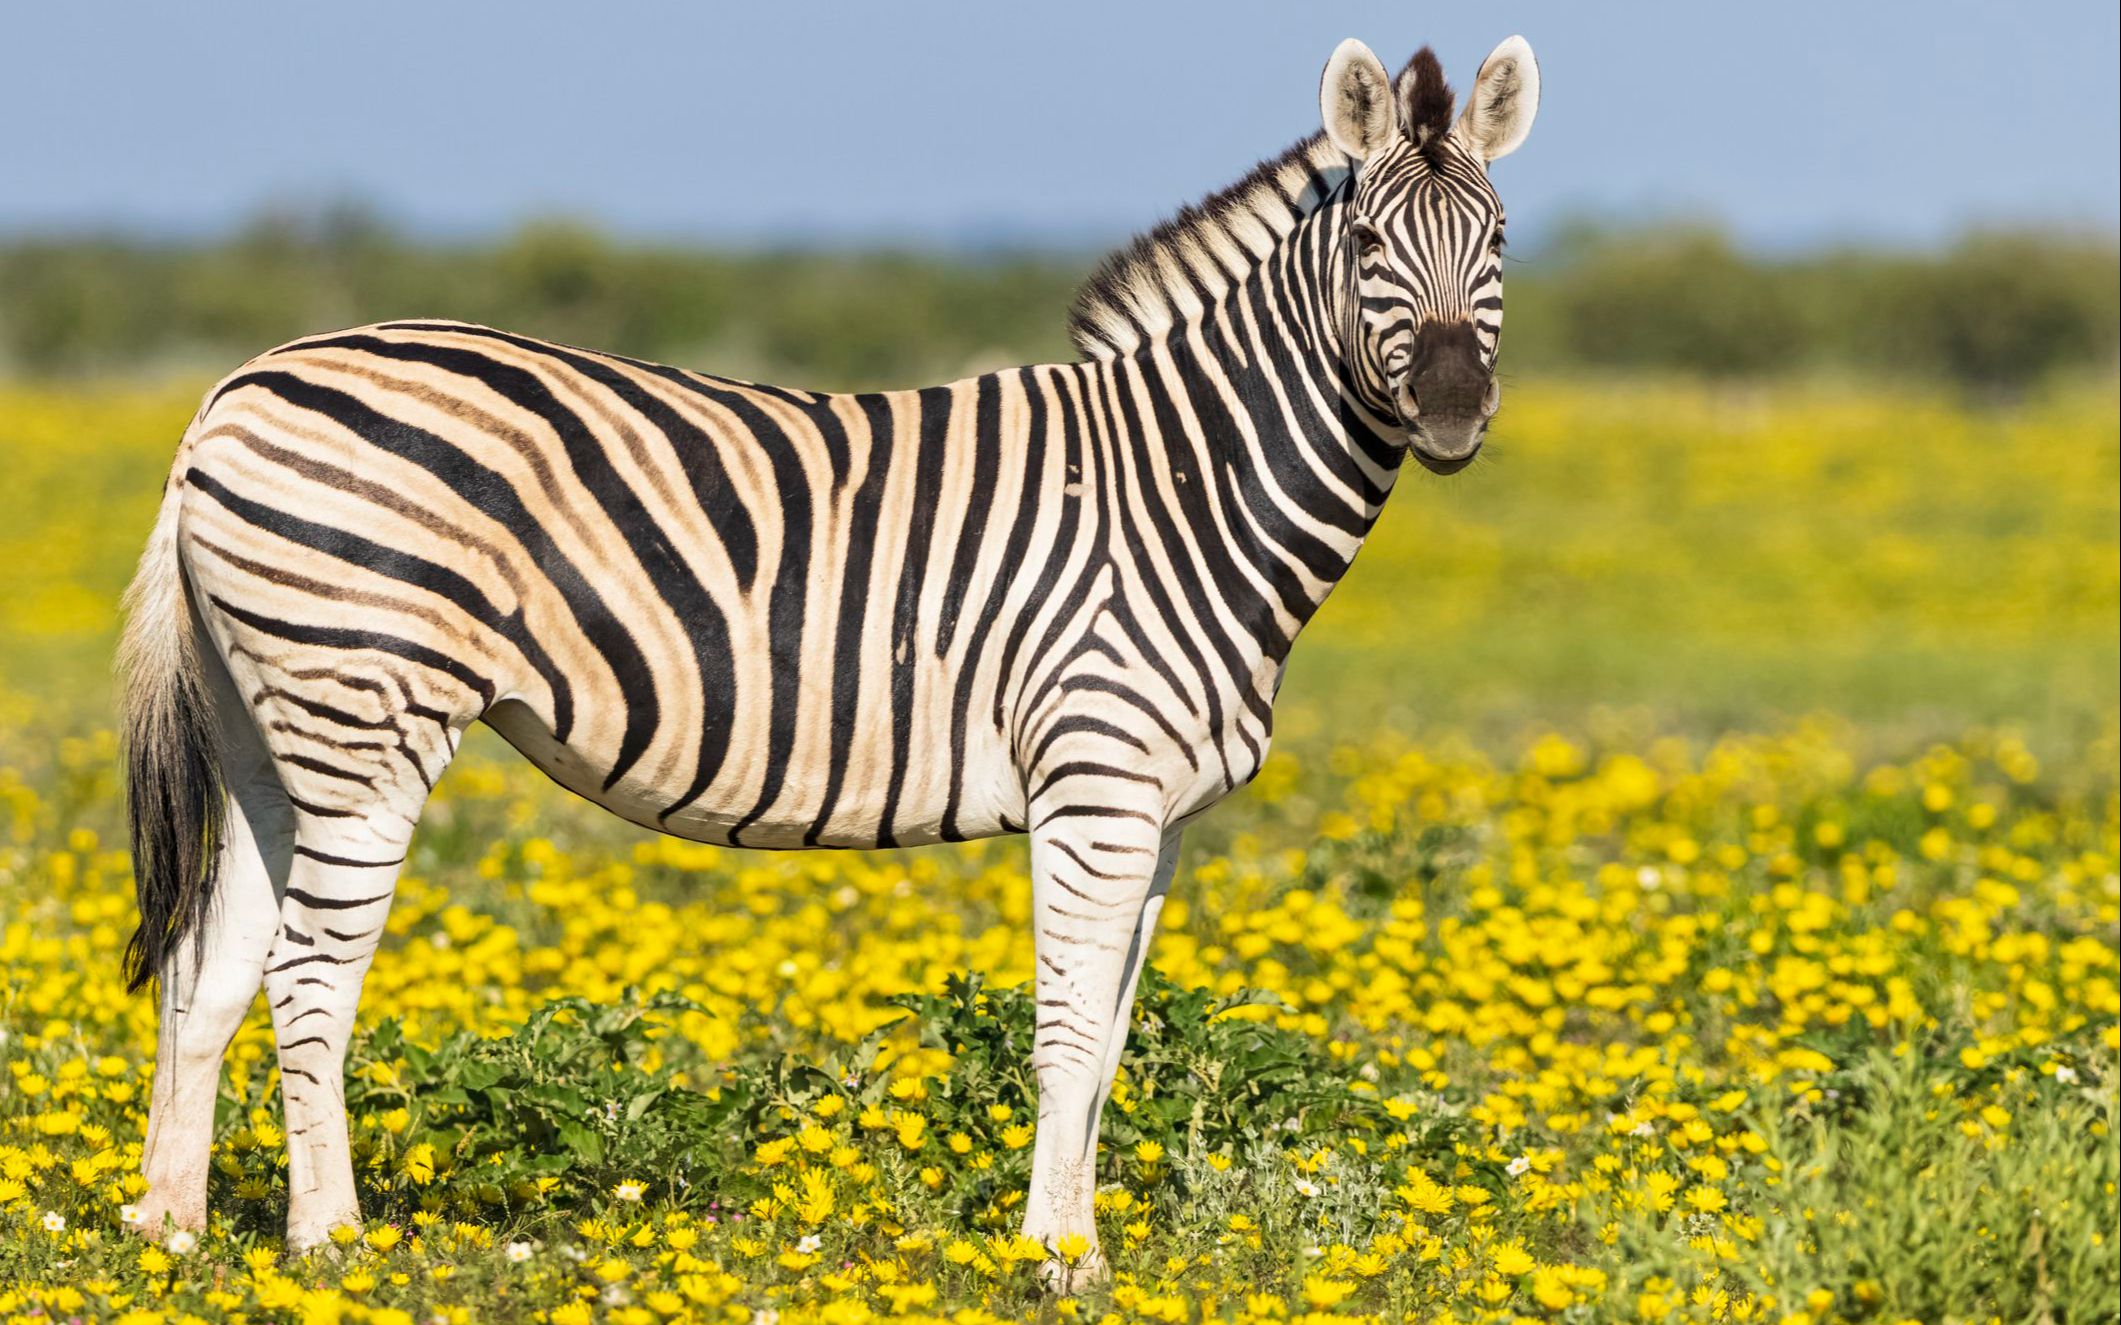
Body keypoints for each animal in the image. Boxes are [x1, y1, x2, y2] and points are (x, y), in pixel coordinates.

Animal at [120, 36, 1544, 1288]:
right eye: (1369, 248)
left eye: (1498, 245)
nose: (1454, 414)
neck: (1182, 490)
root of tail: (228, 395)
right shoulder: (1094, 782)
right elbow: (1068, 1034)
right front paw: (1053, 1258)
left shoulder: (1160, 813)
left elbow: (1112, 1038)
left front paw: (1081, 1244)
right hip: (368, 711)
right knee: (308, 977)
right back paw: (330, 1245)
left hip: (272, 731)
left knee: (209, 966)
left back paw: (171, 1232)